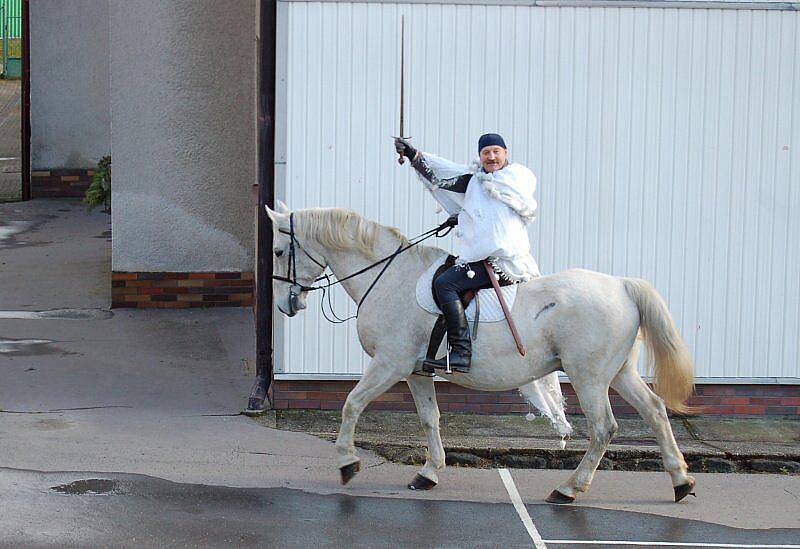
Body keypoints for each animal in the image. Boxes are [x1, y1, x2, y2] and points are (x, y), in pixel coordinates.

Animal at [266, 203, 696, 504]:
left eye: (278, 250)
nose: (286, 304)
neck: (389, 276)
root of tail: (622, 285)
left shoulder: (389, 364)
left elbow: (351, 404)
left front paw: (347, 463)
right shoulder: (416, 372)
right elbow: (430, 419)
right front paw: (429, 473)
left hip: (588, 377)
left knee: (605, 428)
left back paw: (569, 489)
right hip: (619, 372)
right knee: (655, 411)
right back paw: (680, 481)